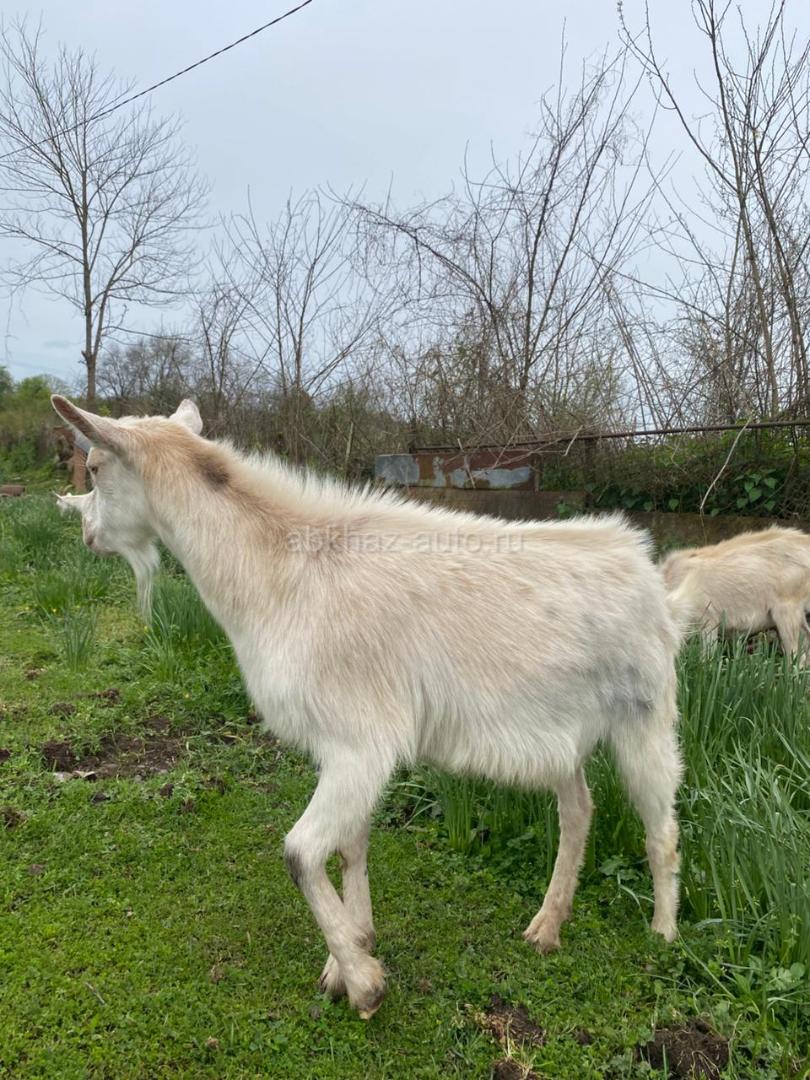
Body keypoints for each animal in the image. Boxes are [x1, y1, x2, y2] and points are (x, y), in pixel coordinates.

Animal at [50, 395, 683, 1019]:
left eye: (97, 467)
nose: (84, 531)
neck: (281, 571)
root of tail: (639, 559)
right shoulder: (343, 749)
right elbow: (350, 845)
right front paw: (352, 948)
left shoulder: (362, 742)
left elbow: (300, 852)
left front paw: (362, 981)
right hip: (562, 734)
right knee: (578, 809)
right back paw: (546, 927)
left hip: (646, 715)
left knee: (661, 826)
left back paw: (664, 934)